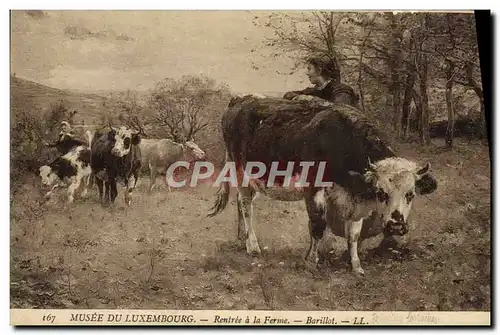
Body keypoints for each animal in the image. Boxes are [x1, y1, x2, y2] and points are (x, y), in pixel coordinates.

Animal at [205, 94, 436, 276]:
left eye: (411, 194)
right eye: (381, 192)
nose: (396, 225)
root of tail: (241, 99)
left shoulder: (354, 202)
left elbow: (353, 234)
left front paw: (356, 266)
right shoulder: (314, 188)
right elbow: (318, 225)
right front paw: (312, 260)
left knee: (241, 202)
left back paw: (241, 237)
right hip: (240, 170)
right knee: (245, 205)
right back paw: (252, 246)